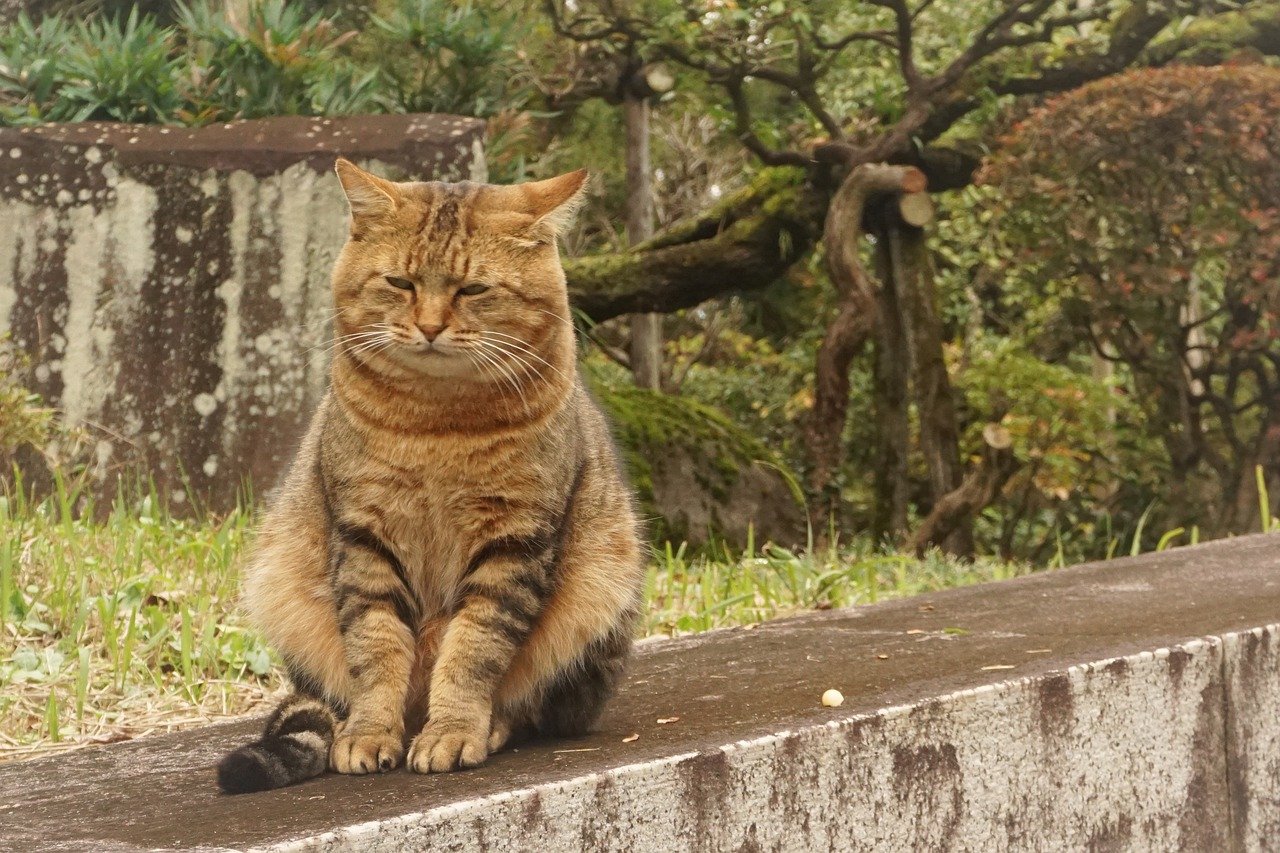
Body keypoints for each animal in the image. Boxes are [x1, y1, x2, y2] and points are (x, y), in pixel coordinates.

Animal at [216, 157, 650, 788]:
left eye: (473, 289)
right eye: (400, 284)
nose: (428, 326)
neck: (437, 425)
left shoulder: (513, 540)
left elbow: (472, 650)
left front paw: (453, 730)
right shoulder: (365, 534)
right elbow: (375, 648)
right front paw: (371, 732)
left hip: (600, 588)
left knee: (533, 707)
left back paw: (488, 725)